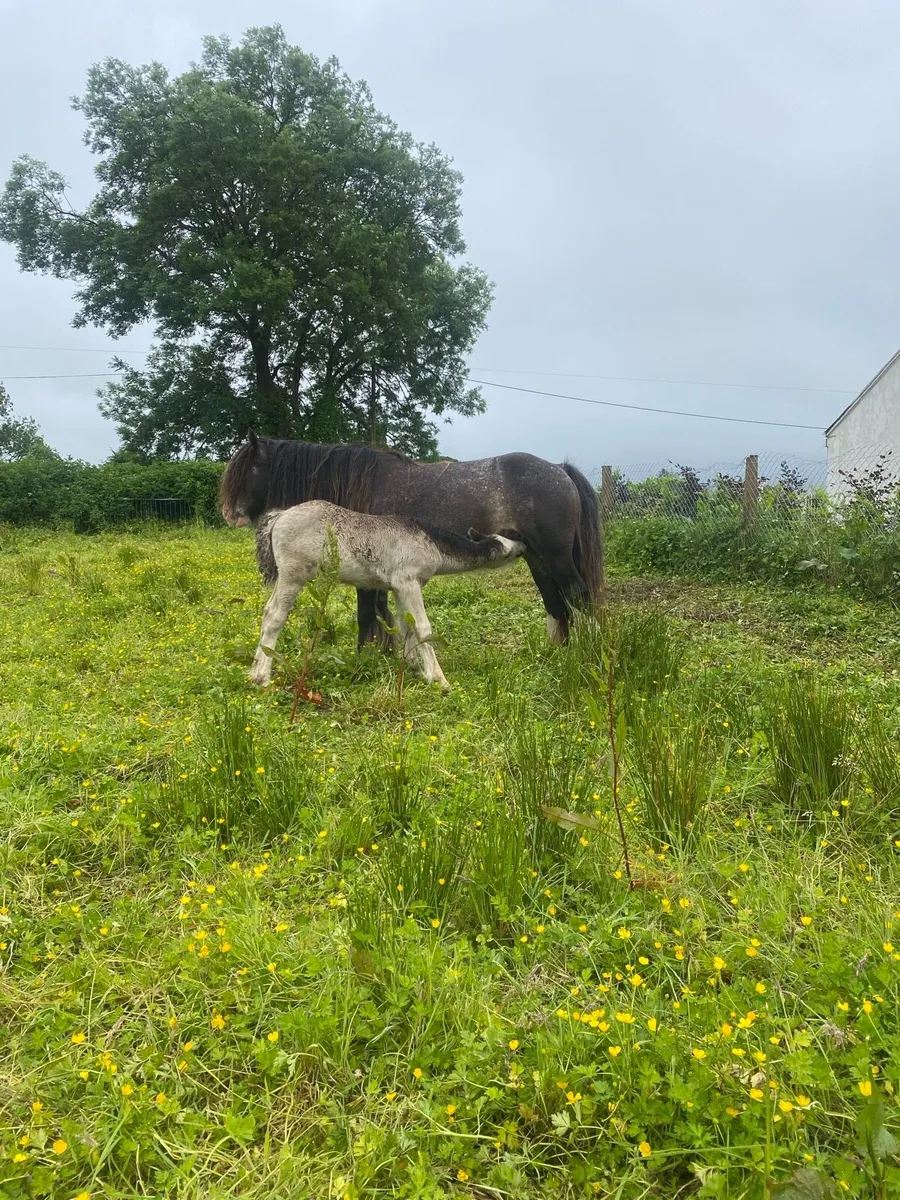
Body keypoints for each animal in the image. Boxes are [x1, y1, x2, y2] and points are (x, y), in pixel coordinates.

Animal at [219, 433, 602, 647]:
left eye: (249, 469)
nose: (229, 514)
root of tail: (559, 469)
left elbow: (366, 615)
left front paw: (365, 659)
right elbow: (381, 614)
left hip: (555, 556)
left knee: (578, 596)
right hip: (537, 558)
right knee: (556, 602)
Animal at [249, 501, 525, 689]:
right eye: (505, 550)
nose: (523, 545)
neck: (429, 542)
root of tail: (279, 516)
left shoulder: (400, 588)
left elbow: (406, 627)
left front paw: (416, 669)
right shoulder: (408, 583)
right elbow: (422, 627)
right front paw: (438, 679)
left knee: (267, 611)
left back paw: (253, 672)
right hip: (293, 576)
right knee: (275, 616)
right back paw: (262, 677)